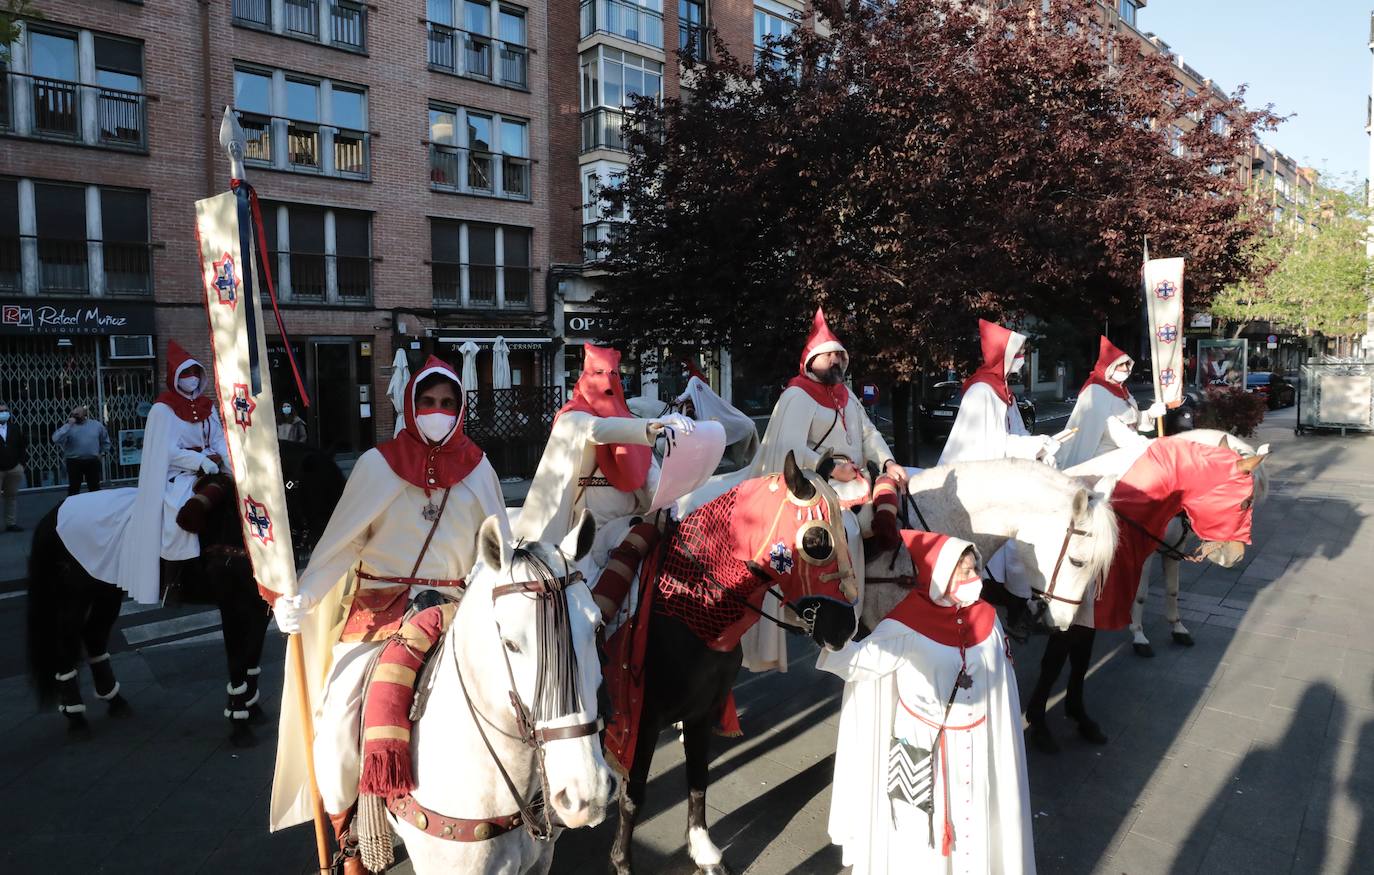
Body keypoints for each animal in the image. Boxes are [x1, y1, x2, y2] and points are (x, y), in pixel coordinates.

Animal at [27, 439, 343, 741]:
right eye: (316, 487)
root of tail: (54, 514)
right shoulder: (232, 607)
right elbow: (237, 659)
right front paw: (239, 723)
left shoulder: (259, 606)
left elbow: (252, 655)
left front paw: (252, 710)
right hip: (75, 597)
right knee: (66, 641)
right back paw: (76, 717)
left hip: (107, 591)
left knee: (93, 636)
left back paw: (115, 702)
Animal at [1066, 431, 1269, 653]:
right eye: (1245, 502)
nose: (1235, 556)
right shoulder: (1143, 554)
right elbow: (1140, 594)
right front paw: (1139, 635)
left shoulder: (1174, 549)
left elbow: (1173, 590)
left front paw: (1177, 627)